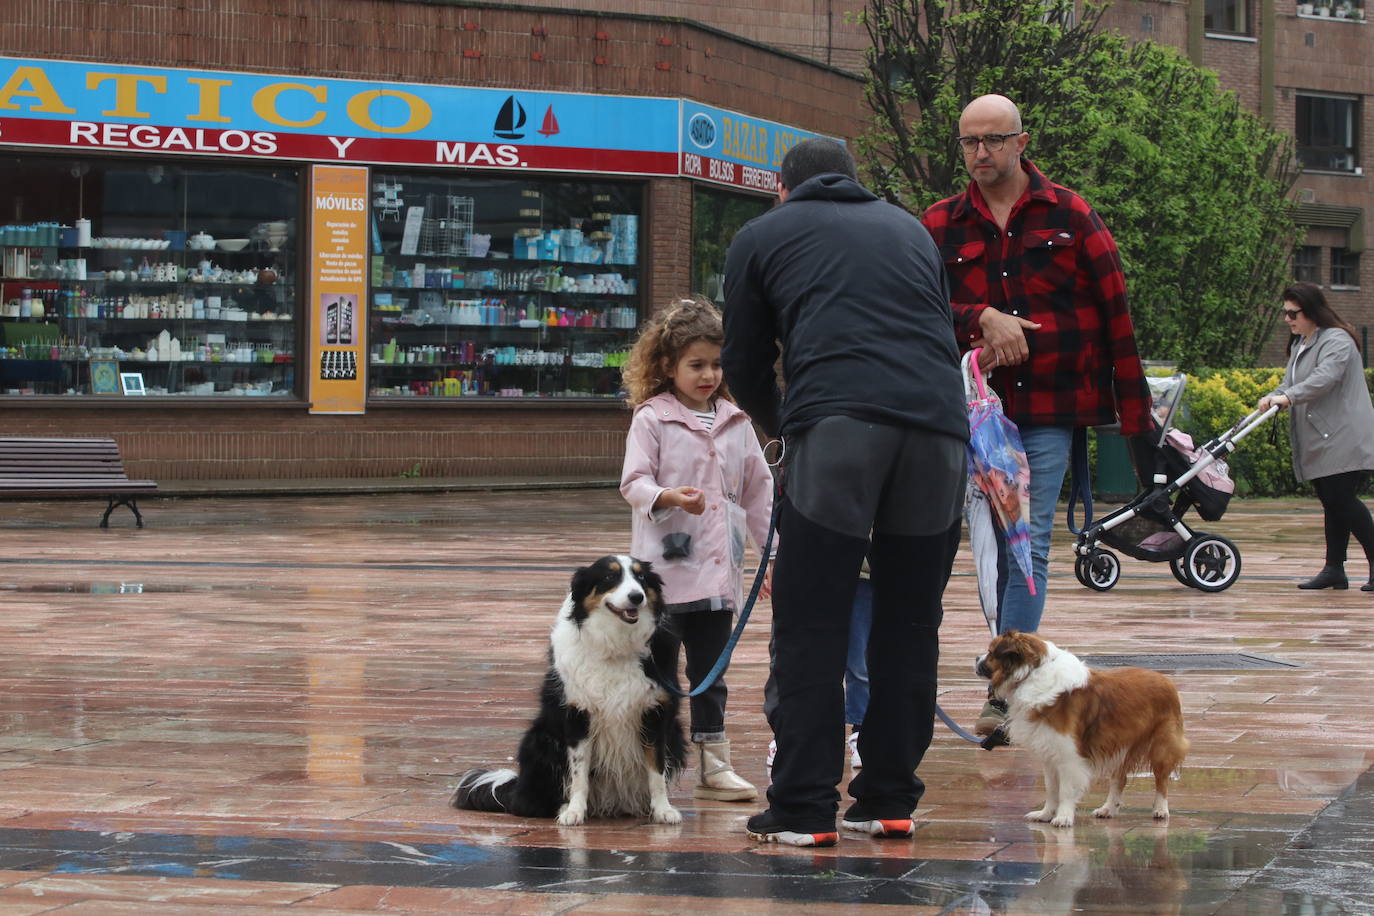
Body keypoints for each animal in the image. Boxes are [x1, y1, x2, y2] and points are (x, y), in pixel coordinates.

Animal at [450, 554, 687, 829]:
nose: (637, 597)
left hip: (676, 734)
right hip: (539, 739)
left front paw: (663, 810)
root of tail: (517, 787)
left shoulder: (655, 714)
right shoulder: (578, 713)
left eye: (640, 577)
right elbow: (578, 772)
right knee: (531, 803)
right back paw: (560, 806)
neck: (614, 645)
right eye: (610, 577)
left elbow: (656, 769)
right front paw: (574, 811)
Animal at [972, 634, 1187, 829]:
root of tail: (1165, 679)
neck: (1031, 674)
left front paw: (1063, 817)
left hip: (1161, 746)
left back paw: (1161, 809)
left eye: (991, 652)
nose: (975, 658)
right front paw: (1046, 814)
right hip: (1120, 743)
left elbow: (1066, 790)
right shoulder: (1049, 752)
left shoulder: (1069, 756)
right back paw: (1108, 808)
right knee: (1119, 778)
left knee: (1161, 780)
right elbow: (1052, 789)